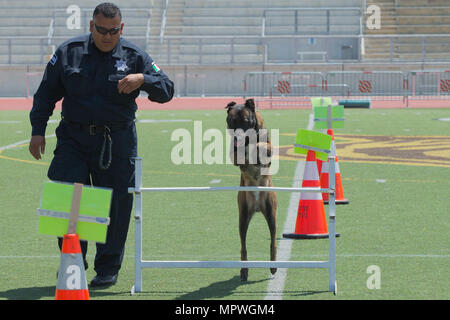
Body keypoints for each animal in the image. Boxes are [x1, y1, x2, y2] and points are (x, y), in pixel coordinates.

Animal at [227, 99, 276, 282]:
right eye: (231, 121)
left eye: (245, 121)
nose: (236, 137)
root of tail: (257, 207)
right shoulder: (233, 153)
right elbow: (237, 155)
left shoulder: (269, 147)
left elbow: (262, 145)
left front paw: (255, 148)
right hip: (242, 217)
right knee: (243, 246)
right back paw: (244, 270)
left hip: (271, 213)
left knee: (273, 241)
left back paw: (273, 266)